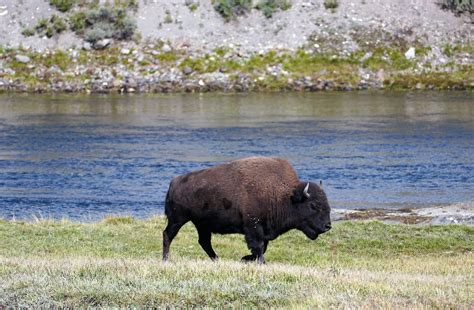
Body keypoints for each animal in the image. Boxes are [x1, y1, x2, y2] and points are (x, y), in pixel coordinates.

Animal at [161, 156, 332, 262]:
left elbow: (262, 248)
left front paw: (245, 259)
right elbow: (258, 247)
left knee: (204, 242)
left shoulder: (263, 230)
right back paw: (165, 259)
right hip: (178, 219)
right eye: (313, 205)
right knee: (168, 235)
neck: (284, 195)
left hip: (202, 224)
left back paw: (217, 260)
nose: (327, 226)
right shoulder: (253, 227)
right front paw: (260, 262)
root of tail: (174, 182)